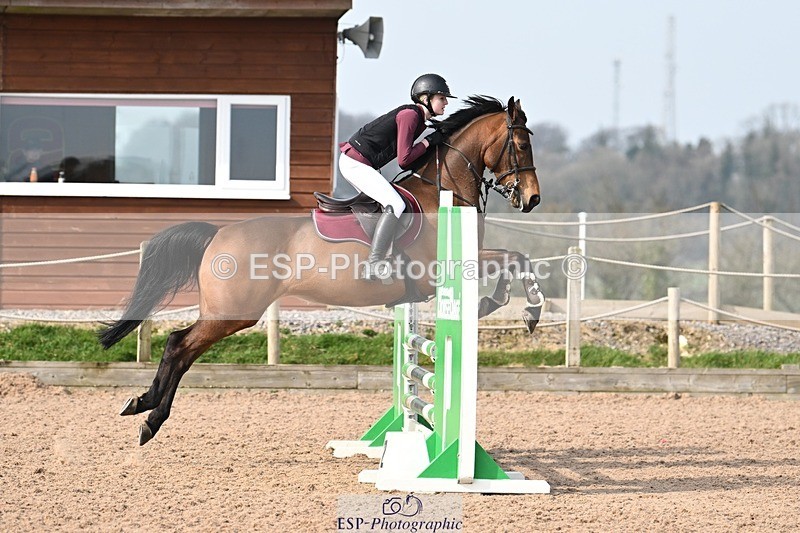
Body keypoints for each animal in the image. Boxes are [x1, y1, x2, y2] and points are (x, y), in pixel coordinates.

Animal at [99, 95, 544, 446]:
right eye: (521, 144)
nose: (533, 200)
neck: (444, 190)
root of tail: (218, 234)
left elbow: (515, 259)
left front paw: (507, 304)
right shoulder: (442, 269)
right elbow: (514, 259)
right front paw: (522, 308)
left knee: (182, 348)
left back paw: (143, 407)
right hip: (234, 312)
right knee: (180, 345)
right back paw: (149, 416)